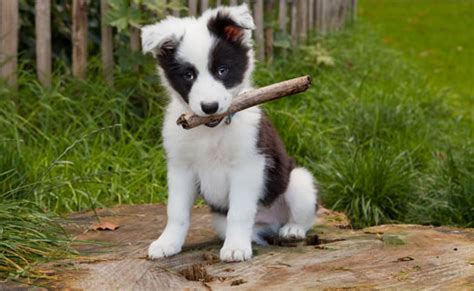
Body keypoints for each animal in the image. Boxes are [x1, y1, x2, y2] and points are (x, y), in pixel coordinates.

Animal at [141, 3, 318, 264]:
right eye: (188, 75)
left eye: (222, 70)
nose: (209, 107)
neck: (211, 131)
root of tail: (272, 221)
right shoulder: (180, 168)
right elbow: (176, 212)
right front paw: (167, 243)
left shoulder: (248, 165)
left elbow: (239, 212)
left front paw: (235, 248)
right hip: (219, 219)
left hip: (298, 181)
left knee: (305, 216)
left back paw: (292, 230)